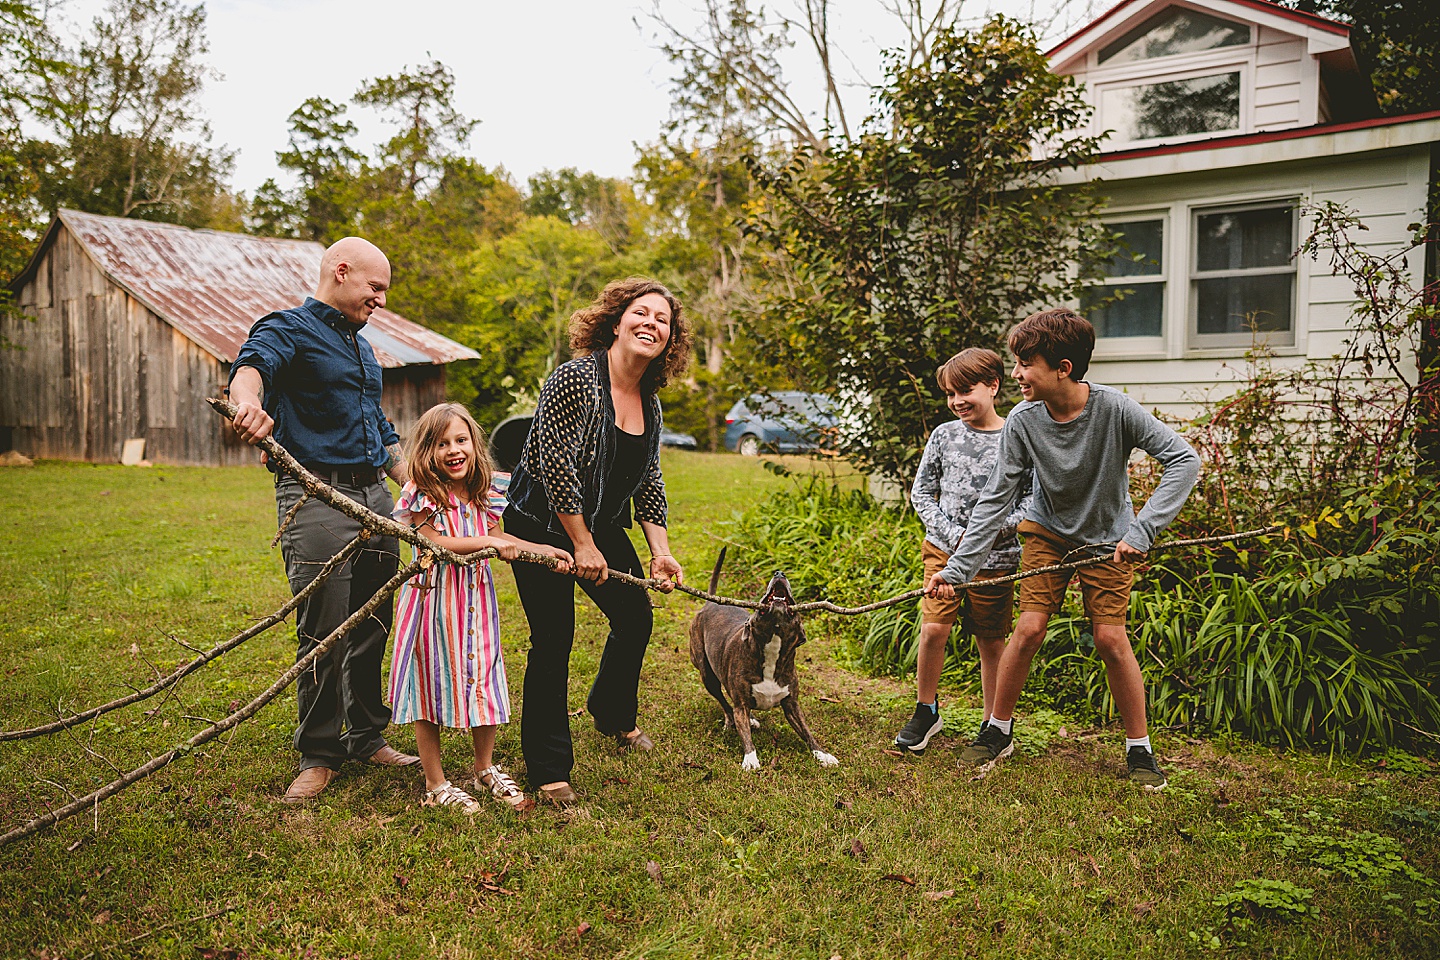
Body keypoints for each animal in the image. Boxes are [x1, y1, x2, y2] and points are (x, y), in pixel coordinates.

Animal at [688, 552, 840, 771]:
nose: (779, 573)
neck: (772, 648)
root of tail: (711, 603)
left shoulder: (792, 704)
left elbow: (806, 730)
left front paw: (822, 754)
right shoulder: (741, 703)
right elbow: (744, 729)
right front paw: (750, 758)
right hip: (707, 674)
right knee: (725, 702)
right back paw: (732, 720)